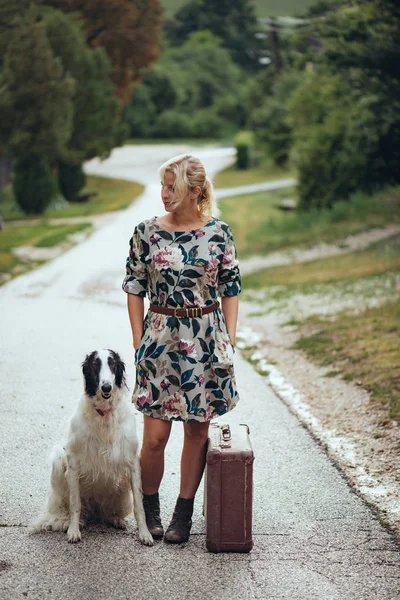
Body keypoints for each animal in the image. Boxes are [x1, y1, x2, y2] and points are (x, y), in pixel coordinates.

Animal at [31, 350, 152, 548]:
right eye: (95, 364)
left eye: (112, 364)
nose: (106, 387)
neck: (103, 414)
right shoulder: (72, 463)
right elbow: (75, 504)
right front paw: (73, 531)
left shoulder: (132, 463)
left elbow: (139, 507)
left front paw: (145, 534)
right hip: (59, 460)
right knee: (65, 510)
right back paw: (67, 522)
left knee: (106, 513)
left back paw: (115, 519)